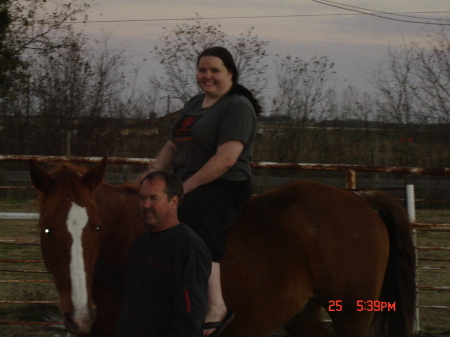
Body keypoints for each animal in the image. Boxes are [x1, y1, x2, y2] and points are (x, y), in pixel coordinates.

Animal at [28, 158, 416, 336]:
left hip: (352, 315)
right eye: (47, 230)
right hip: (303, 315)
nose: (80, 314)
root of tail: (360, 199)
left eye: (95, 227)